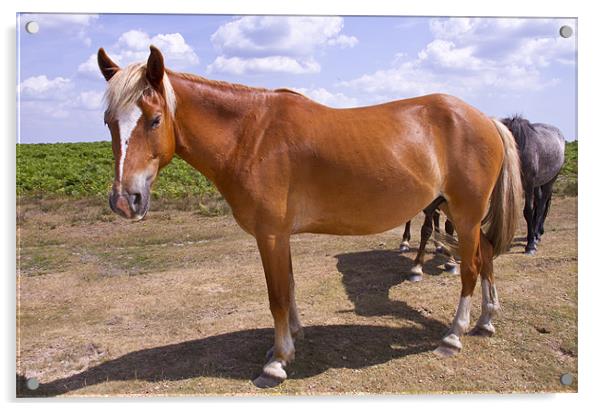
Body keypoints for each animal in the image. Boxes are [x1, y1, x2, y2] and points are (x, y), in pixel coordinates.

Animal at [96, 46, 516, 388]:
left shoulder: (269, 235)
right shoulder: (280, 236)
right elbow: (290, 287)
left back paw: (454, 335)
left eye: (154, 119)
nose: (125, 200)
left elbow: (278, 296)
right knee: (486, 256)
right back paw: (486, 321)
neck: (251, 135)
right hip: (460, 214)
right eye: (108, 121)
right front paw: (293, 338)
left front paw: (277, 362)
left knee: (470, 269)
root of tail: (486, 119)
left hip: (465, 214)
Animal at [500, 115, 564, 254]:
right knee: (539, 202)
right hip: (537, 185)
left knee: (541, 205)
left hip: (549, 181)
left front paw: (530, 245)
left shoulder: (528, 184)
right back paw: (536, 233)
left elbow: (528, 211)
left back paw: (536, 235)